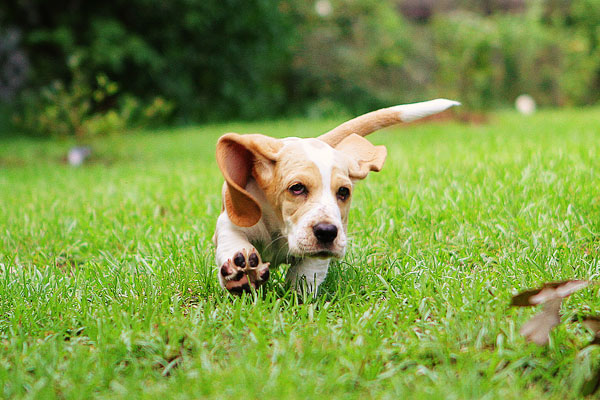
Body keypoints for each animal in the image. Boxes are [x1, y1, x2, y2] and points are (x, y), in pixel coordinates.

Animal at [213, 99, 458, 296]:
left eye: (343, 192)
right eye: (297, 188)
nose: (327, 232)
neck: (281, 232)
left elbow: (306, 273)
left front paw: (299, 297)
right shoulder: (229, 223)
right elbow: (232, 240)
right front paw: (240, 272)